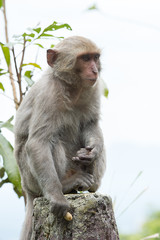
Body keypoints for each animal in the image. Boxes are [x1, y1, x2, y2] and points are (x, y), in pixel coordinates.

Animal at [14, 36, 105, 240]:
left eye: (95, 57)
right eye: (85, 58)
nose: (95, 70)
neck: (72, 88)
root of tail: (26, 189)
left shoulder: (94, 87)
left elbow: (91, 124)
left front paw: (91, 153)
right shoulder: (48, 94)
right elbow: (38, 142)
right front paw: (57, 196)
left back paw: (91, 184)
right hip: (31, 178)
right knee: (51, 141)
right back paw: (66, 185)